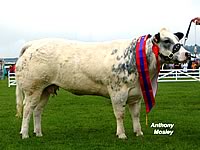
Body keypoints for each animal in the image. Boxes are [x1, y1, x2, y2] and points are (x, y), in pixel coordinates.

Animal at [15, 27, 191, 138]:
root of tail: (33, 44)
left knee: (37, 111)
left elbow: (135, 114)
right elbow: (119, 114)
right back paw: (25, 134)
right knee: (27, 109)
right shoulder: (118, 91)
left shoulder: (136, 94)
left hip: (45, 89)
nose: (188, 54)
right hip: (33, 88)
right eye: (166, 40)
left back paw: (38, 133)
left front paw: (139, 133)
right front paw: (121, 134)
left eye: (177, 39)